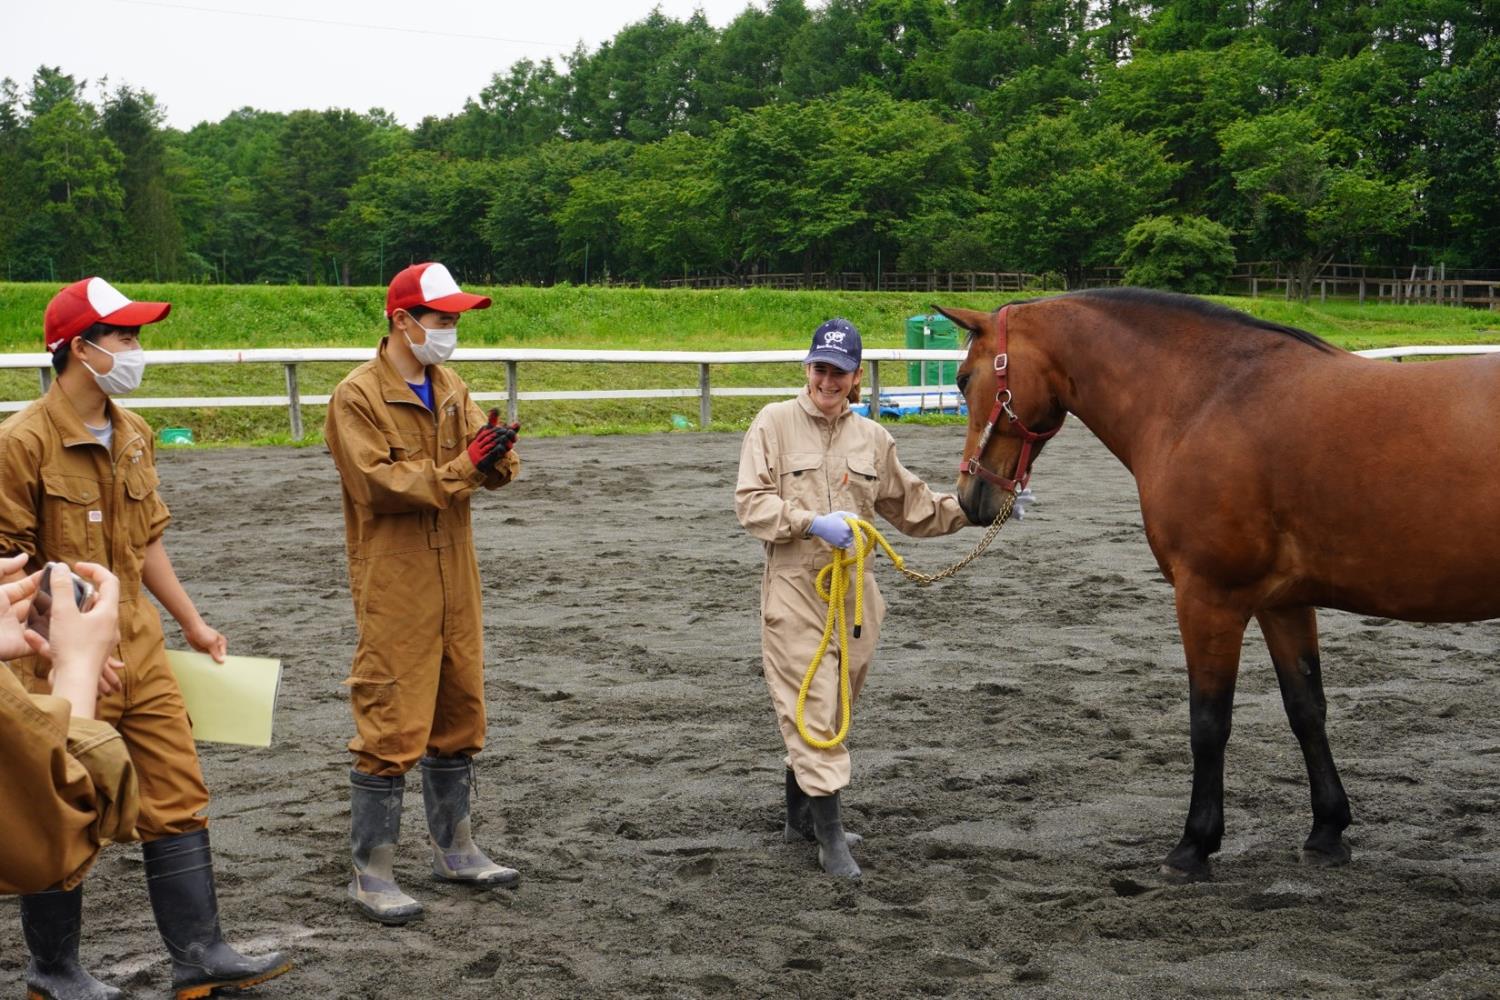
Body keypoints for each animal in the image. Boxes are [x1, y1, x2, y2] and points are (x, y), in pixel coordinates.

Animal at [942, 287, 1500, 875]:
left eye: (963, 378)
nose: (970, 498)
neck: (1206, 398)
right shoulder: (1284, 604)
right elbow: (1306, 709)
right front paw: (1327, 829)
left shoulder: (1208, 598)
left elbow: (1209, 722)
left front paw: (1194, 845)